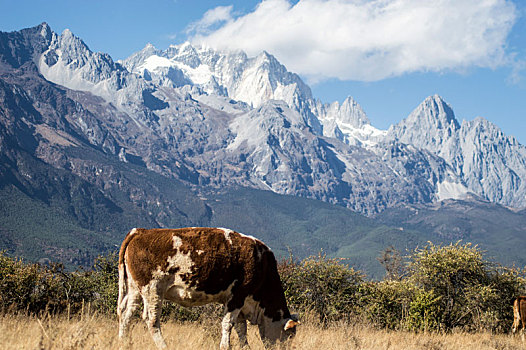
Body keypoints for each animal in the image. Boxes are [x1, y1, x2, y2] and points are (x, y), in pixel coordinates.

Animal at [119, 228, 302, 348]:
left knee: (126, 315)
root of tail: (140, 231)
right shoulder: (237, 297)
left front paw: (244, 347)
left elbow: (241, 328)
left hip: (135, 290)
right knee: (151, 320)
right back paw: (164, 346)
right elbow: (228, 324)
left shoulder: (241, 303)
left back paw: (125, 343)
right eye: (289, 336)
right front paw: (225, 346)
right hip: (153, 290)